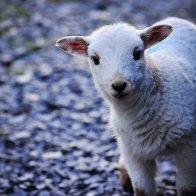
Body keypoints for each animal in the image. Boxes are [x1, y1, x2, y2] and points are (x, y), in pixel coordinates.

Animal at [55, 17, 196, 196]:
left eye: (137, 53)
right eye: (95, 59)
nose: (119, 85)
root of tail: (177, 19)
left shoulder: (188, 147)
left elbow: (186, 189)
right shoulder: (132, 152)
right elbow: (142, 189)